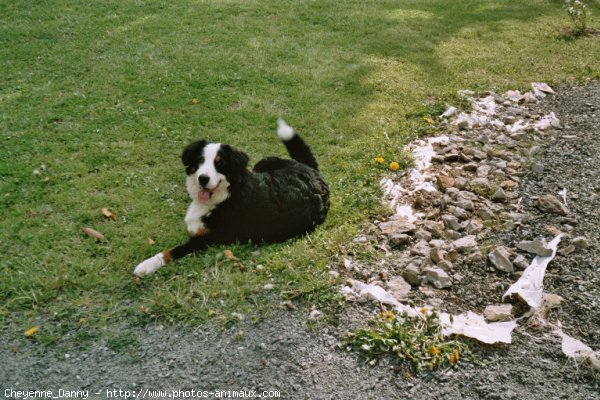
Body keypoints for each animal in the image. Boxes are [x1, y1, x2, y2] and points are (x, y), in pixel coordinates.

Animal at [132, 119, 328, 276]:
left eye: (219, 163)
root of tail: (311, 170)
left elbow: (170, 251)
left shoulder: (205, 240)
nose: (203, 178)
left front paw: (146, 265)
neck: (226, 196)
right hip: (263, 162)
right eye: (200, 161)